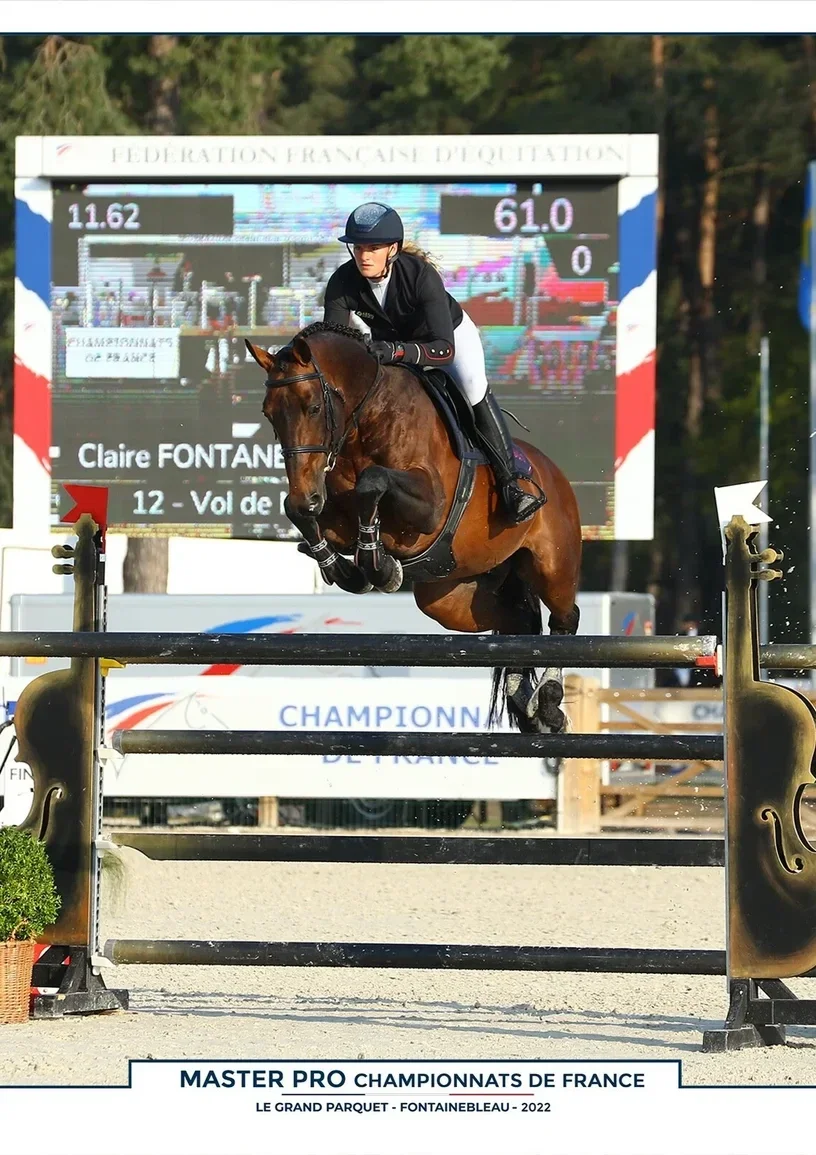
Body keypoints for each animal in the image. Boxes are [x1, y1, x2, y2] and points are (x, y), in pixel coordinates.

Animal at [246, 322, 582, 734]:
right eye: (269, 414)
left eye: (313, 407)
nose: (304, 496)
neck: (365, 419)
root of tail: (553, 471)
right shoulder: (329, 507)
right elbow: (311, 516)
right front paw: (347, 568)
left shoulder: (430, 509)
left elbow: (372, 483)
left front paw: (377, 564)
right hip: (449, 595)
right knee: (520, 621)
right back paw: (533, 708)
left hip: (552, 564)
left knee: (564, 618)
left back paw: (549, 704)